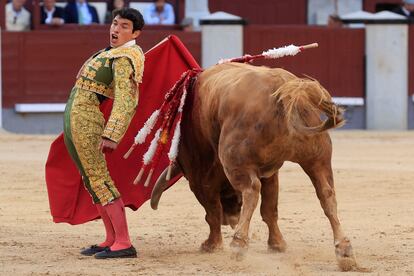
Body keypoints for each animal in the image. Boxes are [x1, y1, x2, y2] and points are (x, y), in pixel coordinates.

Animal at [150, 62, 358, 270]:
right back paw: (344, 250)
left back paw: (238, 244)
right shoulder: (270, 172)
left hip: (235, 162)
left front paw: (212, 245)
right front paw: (277, 245)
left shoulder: (201, 177)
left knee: (251, 190)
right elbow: (269, 208)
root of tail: (283, 89)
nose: (231, 219)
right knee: (326, 193)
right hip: (318, 158)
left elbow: (212, 211)